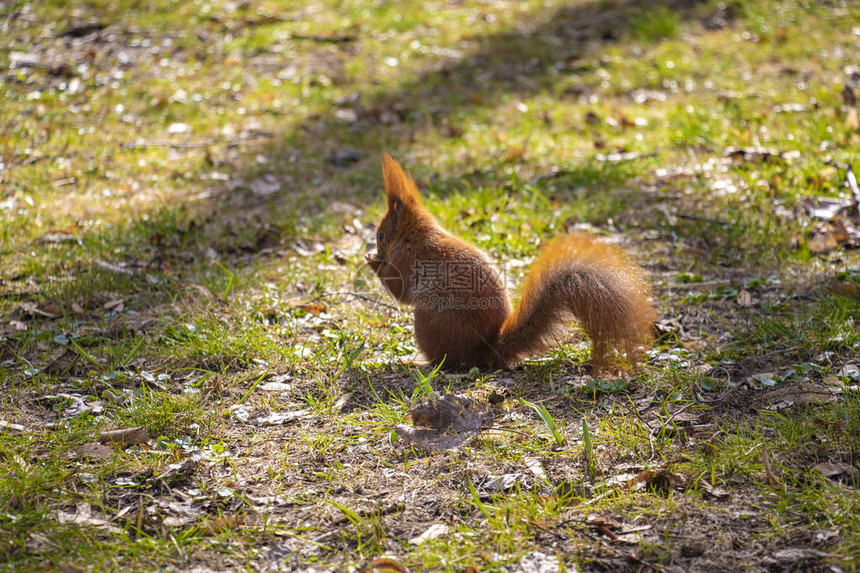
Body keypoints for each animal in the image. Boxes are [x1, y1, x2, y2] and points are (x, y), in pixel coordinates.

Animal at [364, 152, 660, 374]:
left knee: (447, 361)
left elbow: (399, 290)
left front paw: (372, 261)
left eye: (381, 235)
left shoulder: (405, 259)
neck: (414, 233)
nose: (375, 249)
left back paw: (417, 362)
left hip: (429, 320)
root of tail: (486, 350)